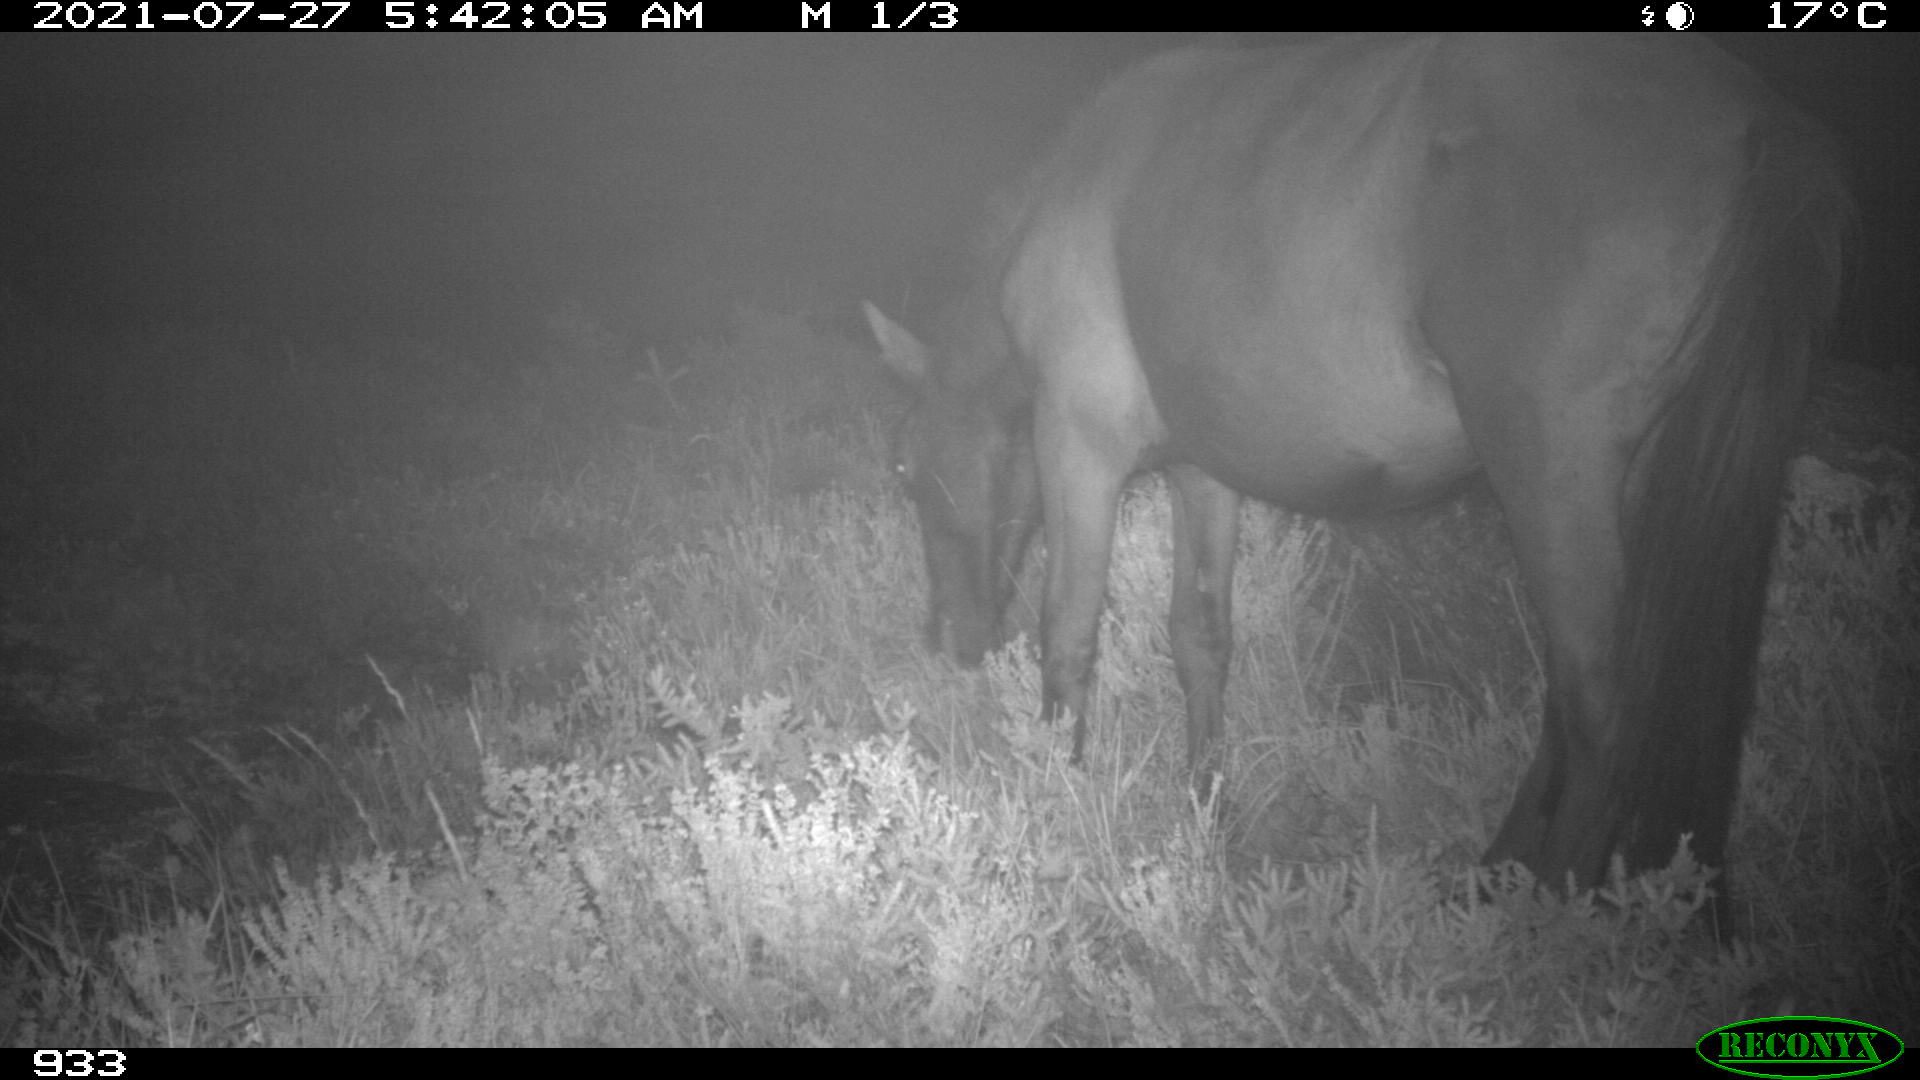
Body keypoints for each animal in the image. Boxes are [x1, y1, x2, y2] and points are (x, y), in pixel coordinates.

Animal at [866, 34, 1848, 913]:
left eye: (907, 465)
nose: (947, 639)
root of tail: (1759, 116)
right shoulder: (1204, 471)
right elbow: (1200, 637)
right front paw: (1205, 805)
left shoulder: (1079, 443)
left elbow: (1067, 638)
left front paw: (1056, 807)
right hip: (1631, 479)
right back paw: (1501, 872)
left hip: (1553, 473)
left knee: (1598, 701)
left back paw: (1547, 905)